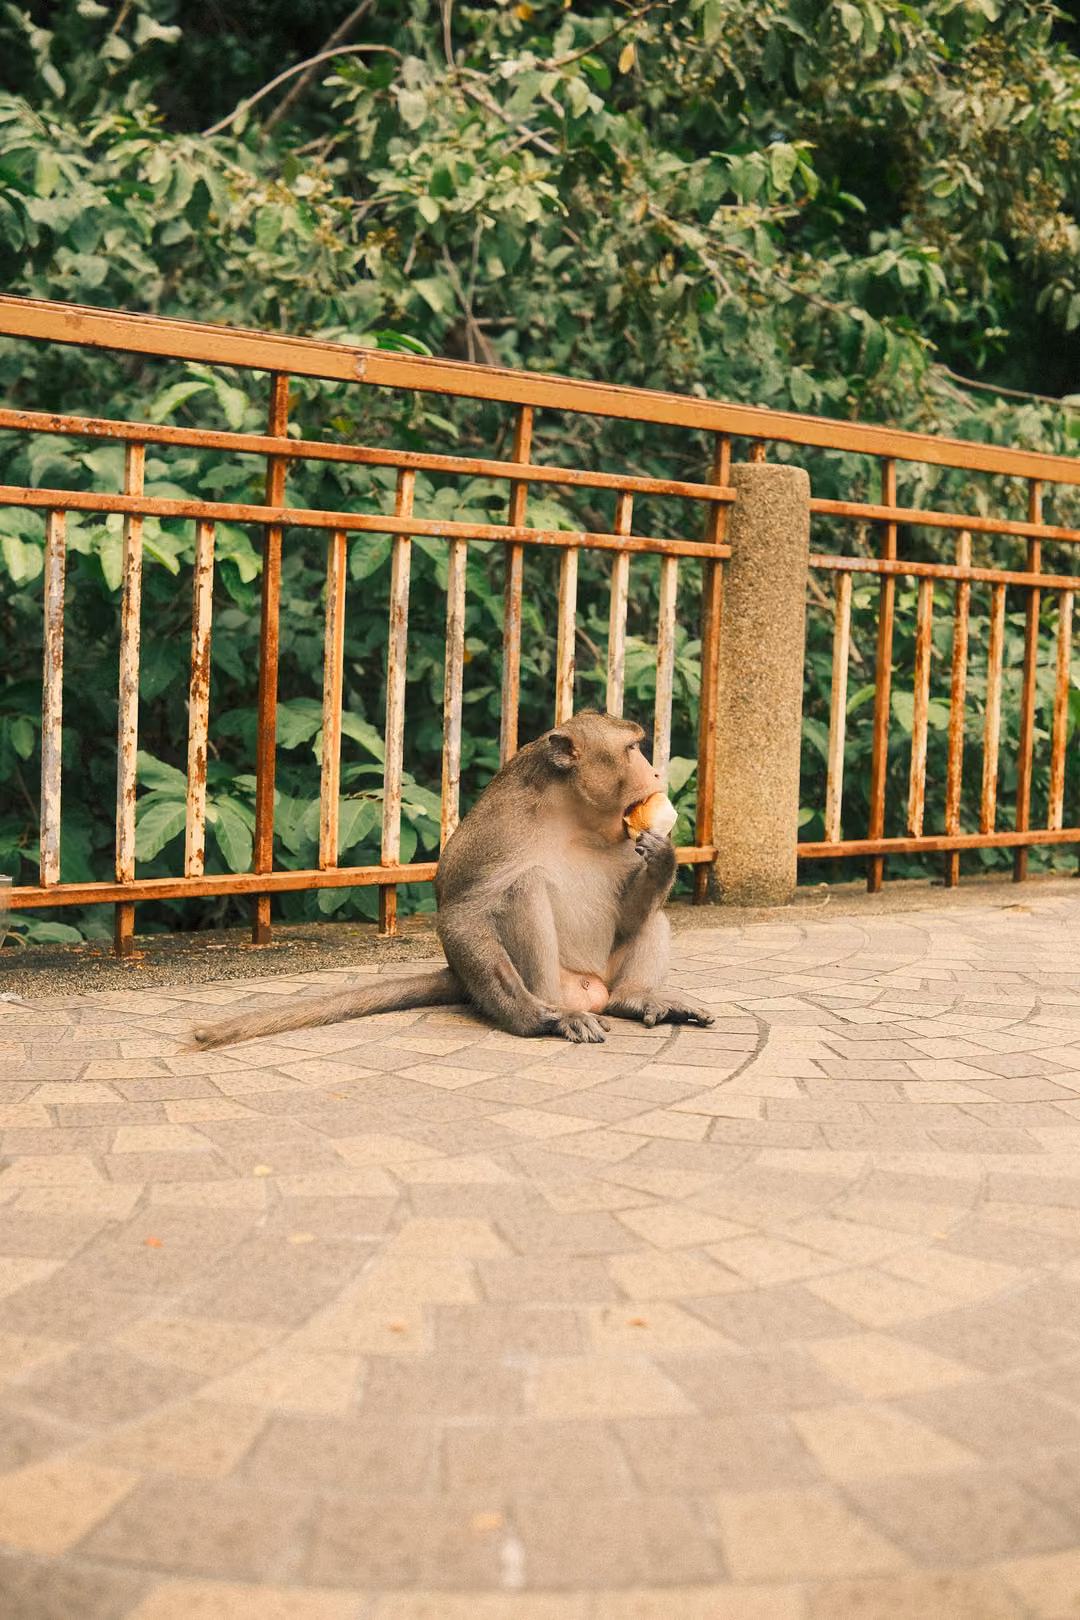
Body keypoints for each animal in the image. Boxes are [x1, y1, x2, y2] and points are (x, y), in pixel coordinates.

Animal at [191, 710, 713, 1049]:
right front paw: (530, 1017)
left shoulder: (626, 838)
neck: (575, 817)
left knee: (653, 919)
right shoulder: (497, 830)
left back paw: (634, 999)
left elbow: (631, 913)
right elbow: (463, 914)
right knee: (524, 891)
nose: (656, 772)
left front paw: (665, 858)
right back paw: (555, 1011)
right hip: (559, 983)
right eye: (632, 748)